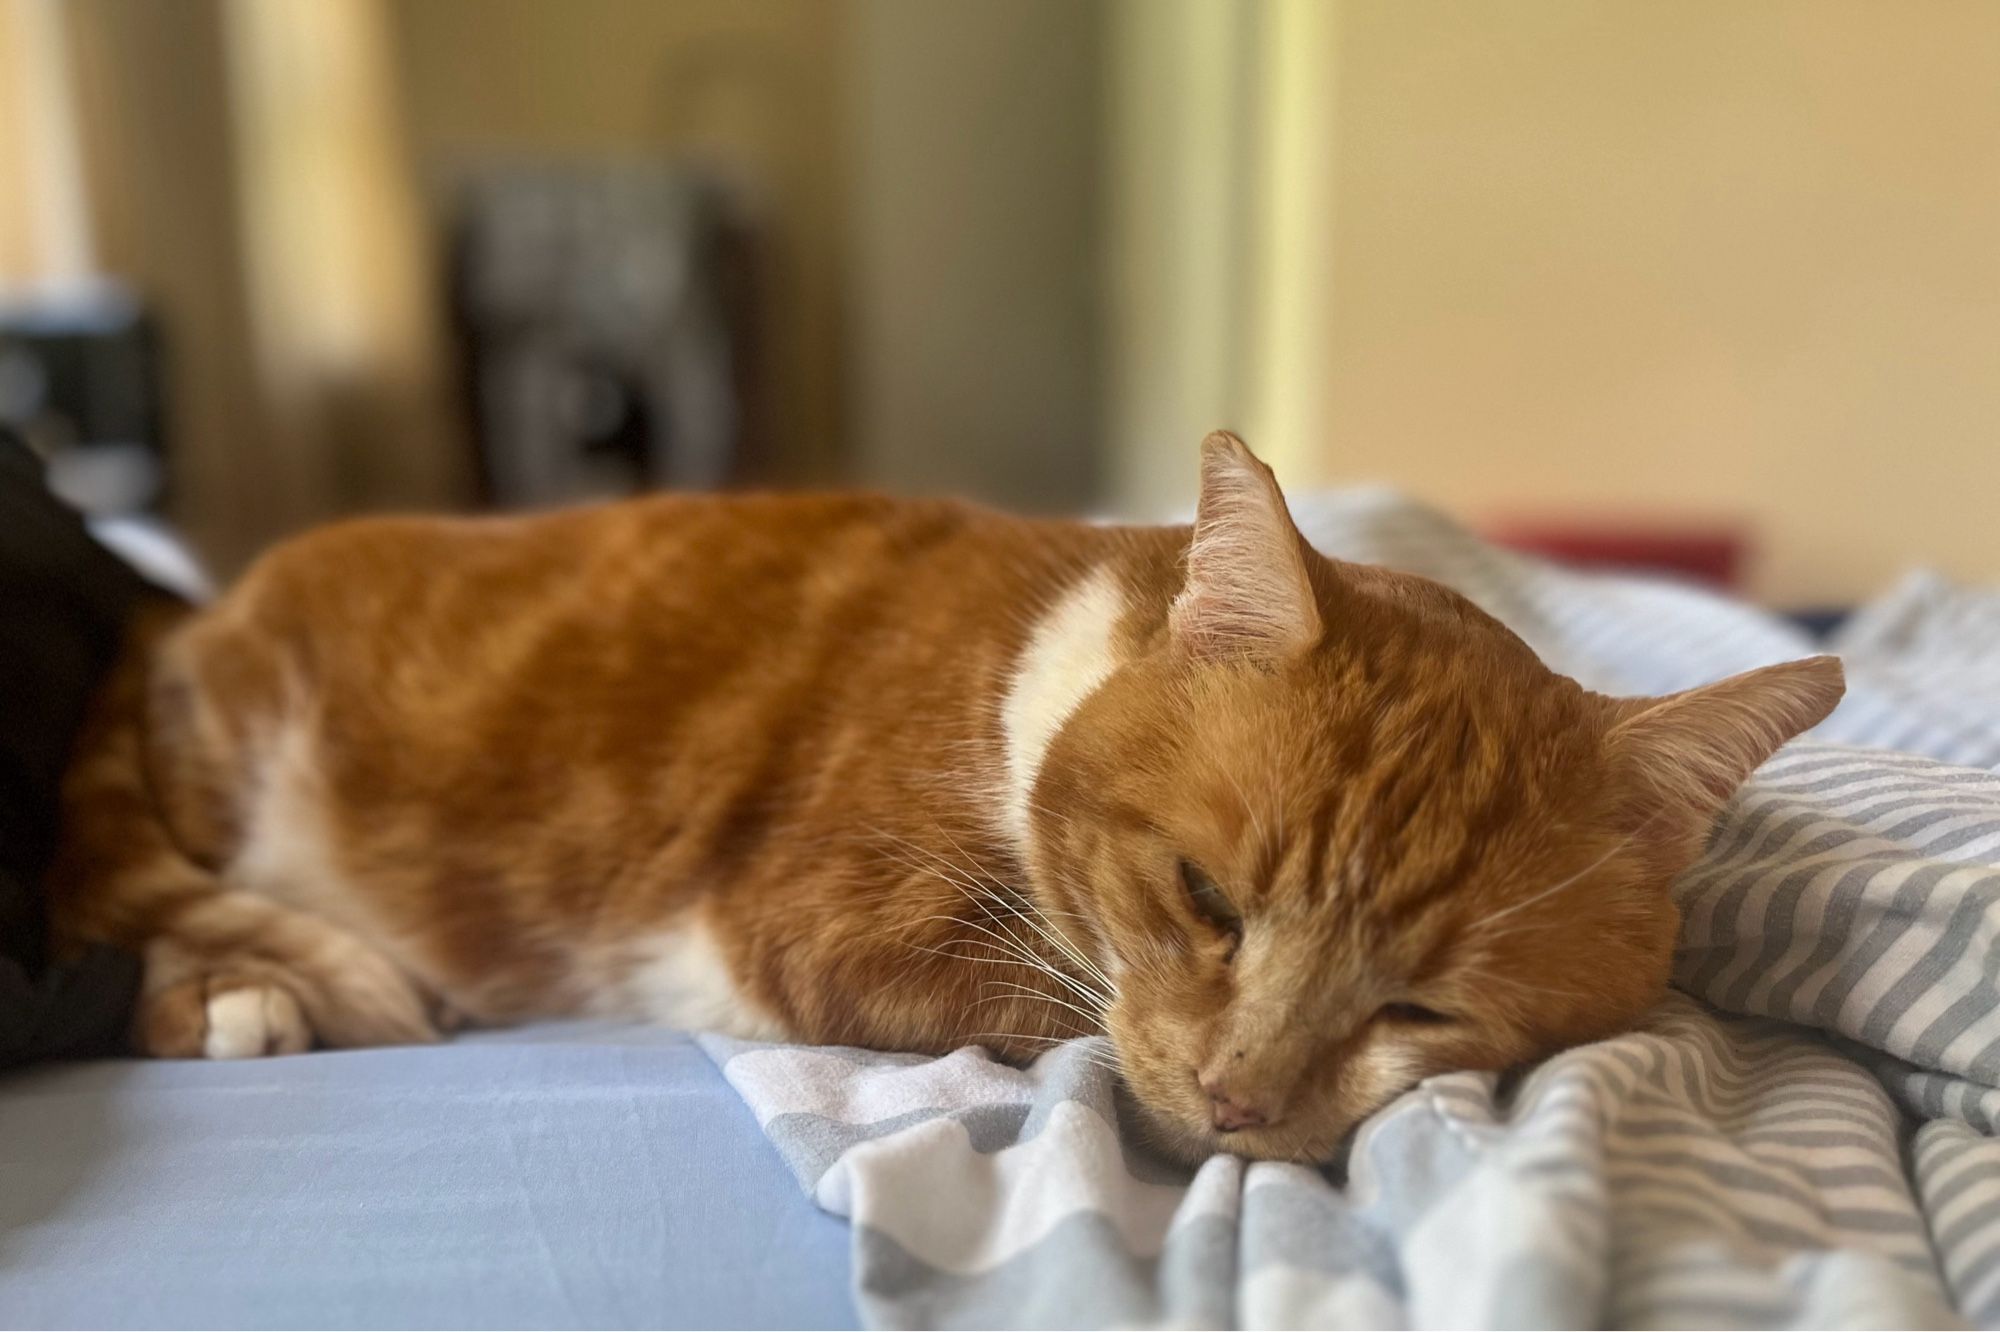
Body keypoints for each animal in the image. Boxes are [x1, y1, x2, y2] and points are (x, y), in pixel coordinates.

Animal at [43, 430, 1840, 1160]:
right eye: (1204, 901)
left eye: (1425, 1004)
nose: (1241, 1107)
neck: (1055, 662)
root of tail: (186, 615)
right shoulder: (811, 921)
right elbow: (1054, 1010)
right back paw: (236, 999)